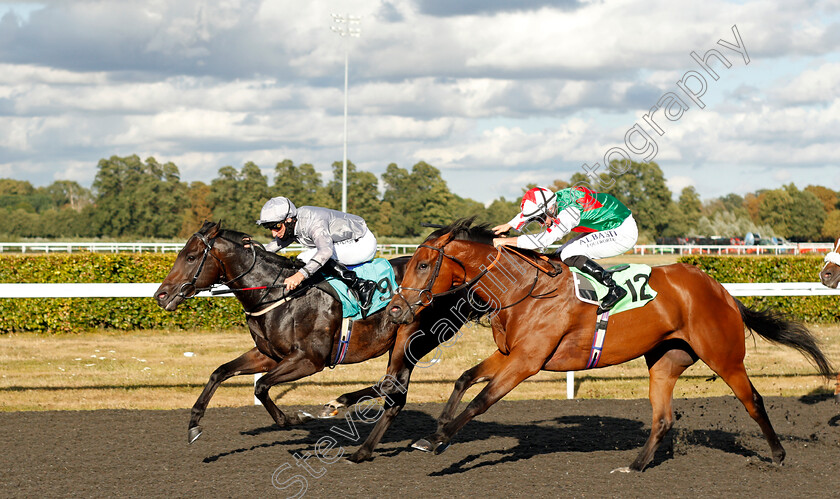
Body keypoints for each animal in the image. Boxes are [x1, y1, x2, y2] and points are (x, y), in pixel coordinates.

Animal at [153, 222, 476, 446]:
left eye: (191, 256)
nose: (160, 295)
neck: (278, 294)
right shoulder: (268, 355)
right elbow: (220, 372)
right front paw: (194, 424)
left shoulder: (309, 360)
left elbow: (262, 387)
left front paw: (294, 418)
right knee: (395, 390)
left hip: (414, 338)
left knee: (393, 384)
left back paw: (338, 405)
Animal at [388, 220, 832, 472]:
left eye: (423, 265)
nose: (395, 310)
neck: (522, 289)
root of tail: (720, 289)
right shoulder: (510, 354)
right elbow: (464, 379)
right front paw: (434, 434)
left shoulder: (527, 362)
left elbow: (481, 400)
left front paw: (443, 439)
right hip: (665, 360)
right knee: (663, 417)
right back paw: (634, 466)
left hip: (723, 355)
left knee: (753, 400)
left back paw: (777, 457)